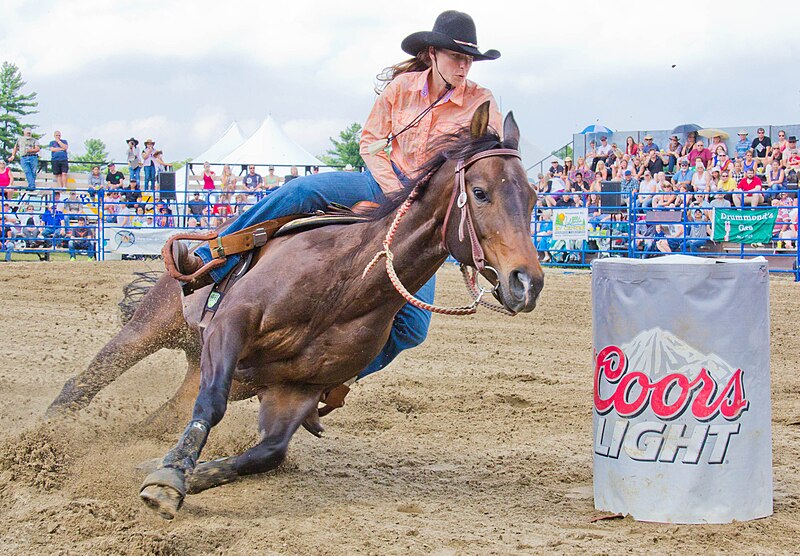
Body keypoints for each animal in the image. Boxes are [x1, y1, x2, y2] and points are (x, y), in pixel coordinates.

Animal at [54, 102, 544, 520]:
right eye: (479, 192)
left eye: (534, 197)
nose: (528, 282)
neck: (345, 284)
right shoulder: (230, 325)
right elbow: (211, 406)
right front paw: (168, 479)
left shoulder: (297, 389)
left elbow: (268, 453)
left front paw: (175, 472)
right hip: (153, 326)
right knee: (85, 382)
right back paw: (49, 434)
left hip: (212, 368)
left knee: (159, 418)